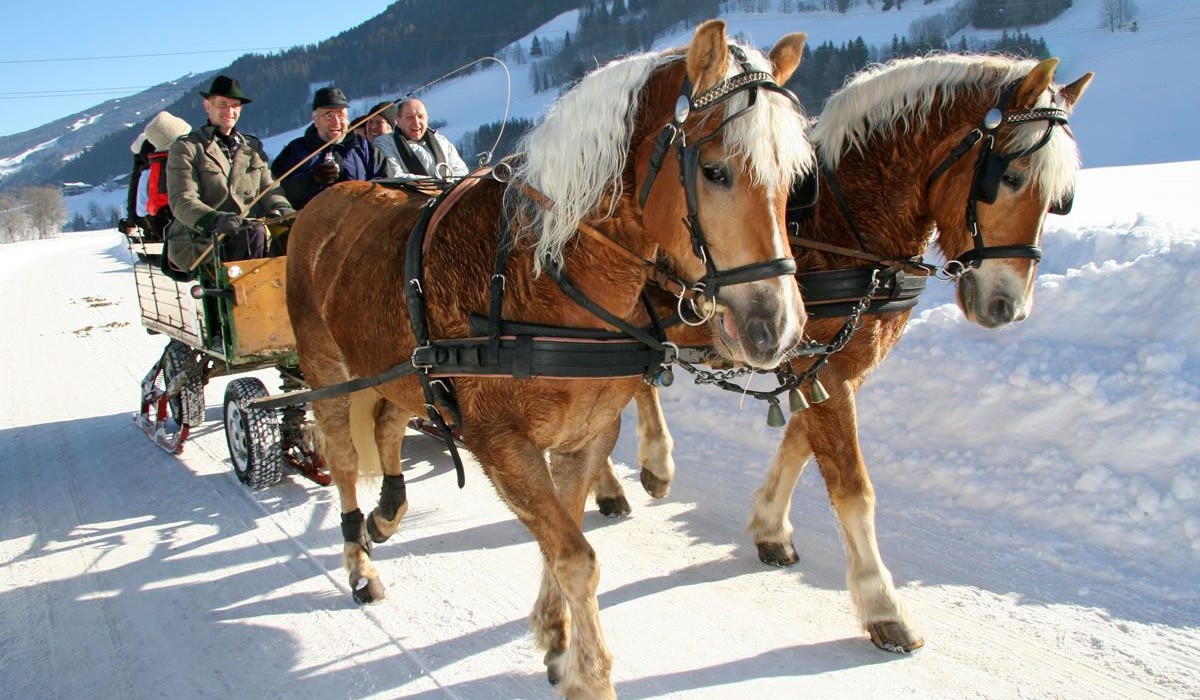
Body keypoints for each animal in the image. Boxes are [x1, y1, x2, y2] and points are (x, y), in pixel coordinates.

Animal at [284, 19, 811, 696]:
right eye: (715, 171)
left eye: (794, 176)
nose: (777, 326)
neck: (543, 275)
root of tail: (326, 200)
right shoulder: (501, 441)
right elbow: (574, 556)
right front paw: (590, 673)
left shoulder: (587, 433)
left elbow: (564, 534)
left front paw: (555, 633)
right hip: (328, 369)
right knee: (346, 459)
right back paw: (359, 561)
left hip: (402, 368)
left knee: (388, 421)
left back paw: (387, 514)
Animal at [595, 51, 1094, 653]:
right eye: (1012, 177)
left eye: (1061, 199)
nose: (1008, 306)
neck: (842, 223)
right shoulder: (822, 367)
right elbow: (852, 485)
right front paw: (883, 606)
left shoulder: (828, 366)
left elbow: (798, 443)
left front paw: (769, 526)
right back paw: (636, 471)